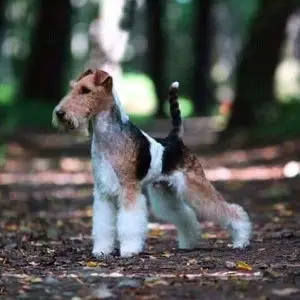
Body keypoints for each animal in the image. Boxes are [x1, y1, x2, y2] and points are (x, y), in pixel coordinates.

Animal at [52, 68, 251, 258]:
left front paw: (129, 250)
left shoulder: (129, 189)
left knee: (231, 210)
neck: (107, 137)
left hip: (195, 187)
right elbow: (103, 225)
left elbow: (129, 223)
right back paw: (188, 242)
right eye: (72, 89)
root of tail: (175, 139)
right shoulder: (103, 192)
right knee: (186, 216)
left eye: (86, 90)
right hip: (165, 193)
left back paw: (241, 240)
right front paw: (101, 250)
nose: (60, 113)